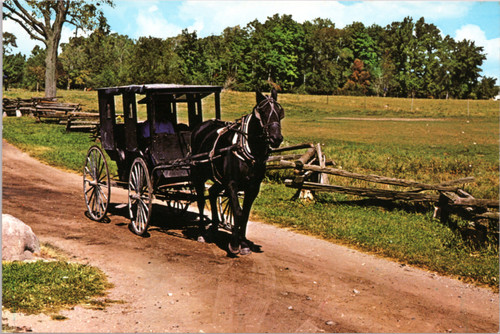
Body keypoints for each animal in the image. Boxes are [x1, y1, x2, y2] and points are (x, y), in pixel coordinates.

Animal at [191, 88, 284, 256]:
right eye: (262, 111)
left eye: (280, 112)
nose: (276, 138)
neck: (248, 149)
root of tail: (200, 127)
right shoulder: (232, 184)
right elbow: (237, 212)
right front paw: (234, 244)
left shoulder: (253, 187)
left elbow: (245, 214)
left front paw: (244, 243)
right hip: (199, 174)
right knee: (201, 200)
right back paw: (201, 233)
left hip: (220, 179)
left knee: (213, 193)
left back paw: (214, 228)